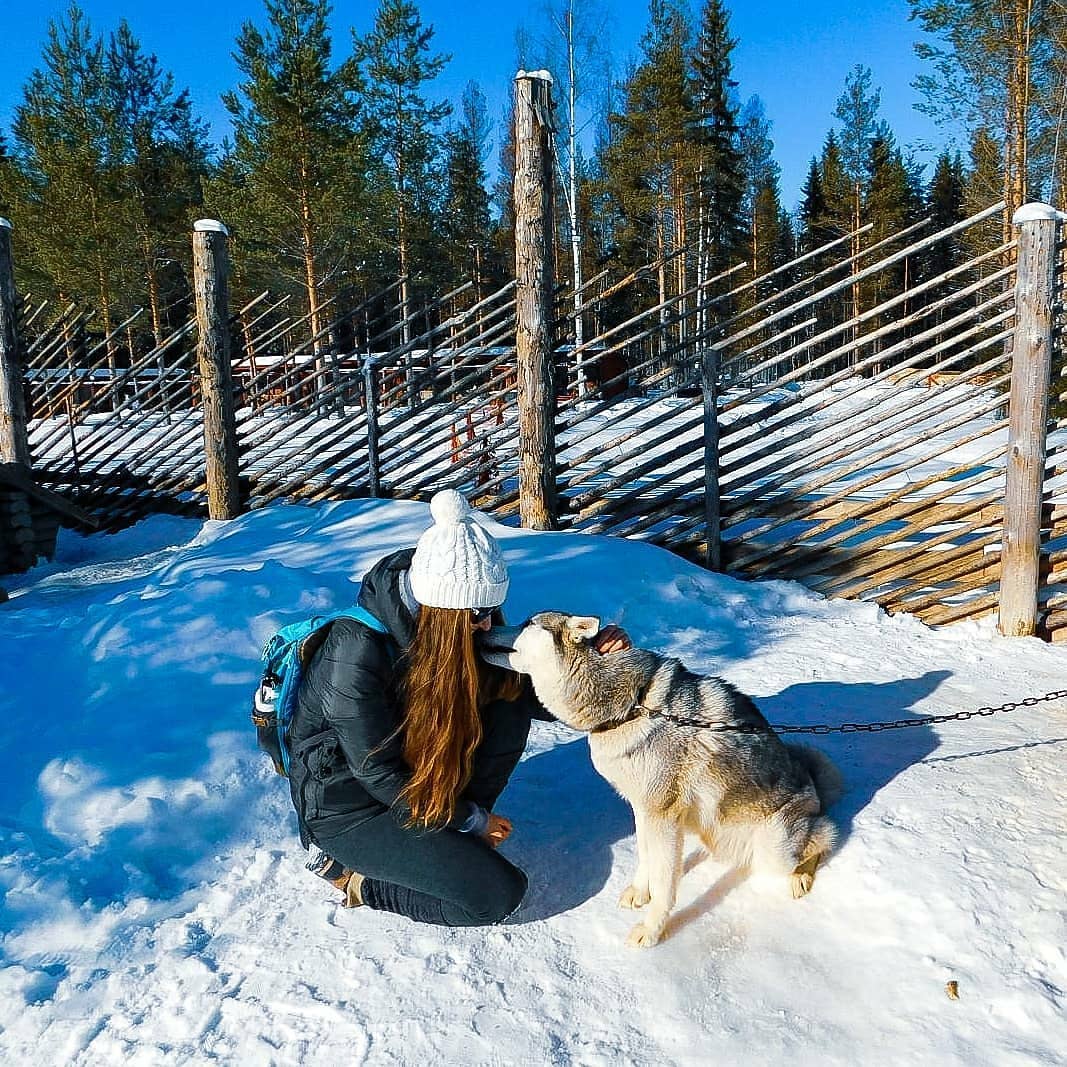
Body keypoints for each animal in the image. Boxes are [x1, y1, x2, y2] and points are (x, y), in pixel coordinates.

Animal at [484, 614, 840, 947]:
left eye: (528, 622)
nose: (482, 626)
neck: (633, 705)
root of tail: (815, 791)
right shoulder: (644, 811)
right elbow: (647, 858)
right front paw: (640, 893)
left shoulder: (661, 815)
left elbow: (665, 885)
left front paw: (652, 931)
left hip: (774, 849)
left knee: (824, 838)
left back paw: (800, 877)